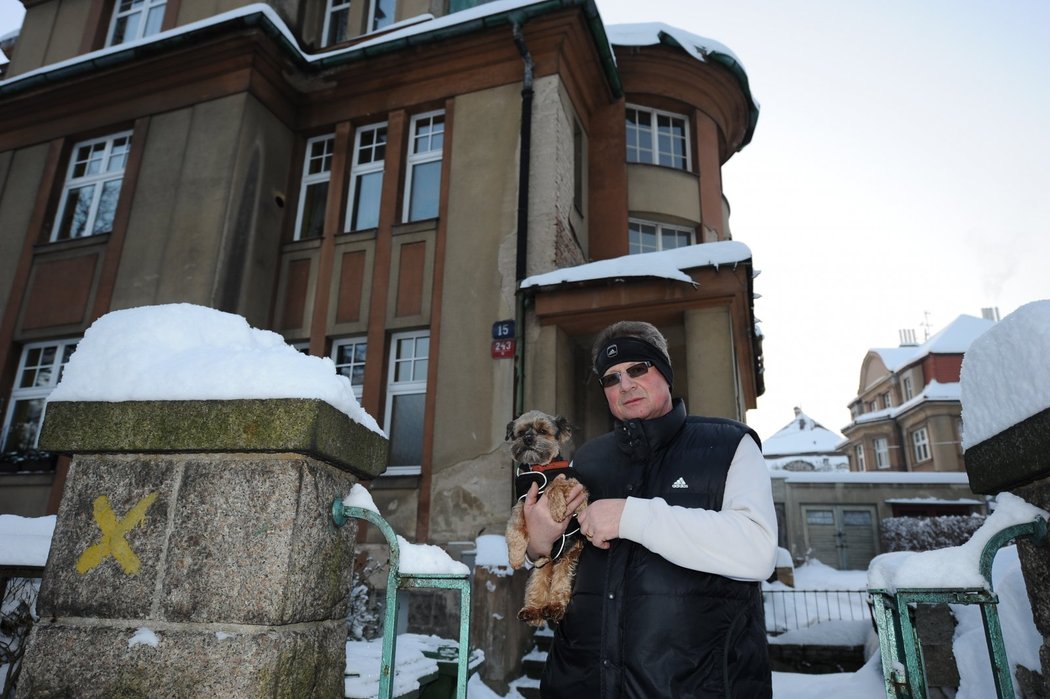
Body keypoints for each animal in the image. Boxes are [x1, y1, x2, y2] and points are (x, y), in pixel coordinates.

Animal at [503, 405, 588, 621]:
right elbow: (515, 528)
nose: (528, 439)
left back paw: (555, 606)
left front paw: (558, 509)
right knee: (538, 581)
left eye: (542, 430)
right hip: (543, 561)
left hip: (569, 556)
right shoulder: (523, 503)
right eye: (521, 432)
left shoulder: (575, 485)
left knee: (561, 581)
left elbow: (555, 485)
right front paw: (515, 557)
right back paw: (532, 610)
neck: (541, 468)